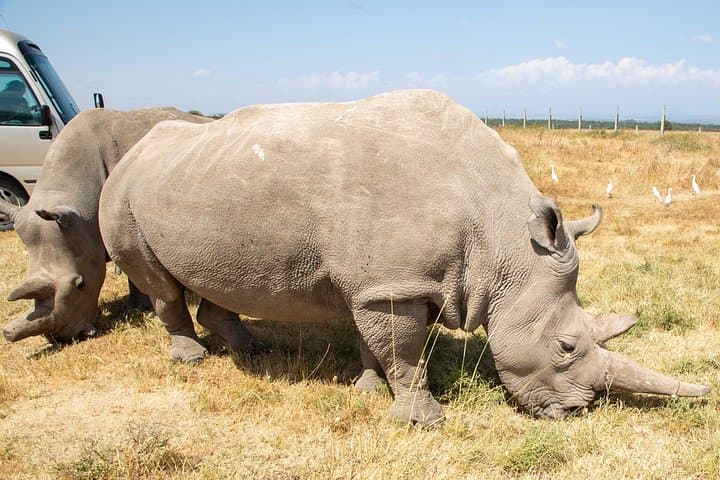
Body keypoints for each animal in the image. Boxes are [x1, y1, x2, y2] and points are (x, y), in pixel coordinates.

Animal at [98, 90, 709, 423]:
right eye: (564, 346)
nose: (576, 412)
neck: (503, 239)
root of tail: (133, 150)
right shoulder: (392, 282)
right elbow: (406, 349)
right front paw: (423, 421)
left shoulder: (381, 281)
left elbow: (378, 341)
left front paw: (368, 390)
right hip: (123, 192)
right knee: (157, 283)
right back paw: (192, 360)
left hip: (186, 182)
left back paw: (251, 349)